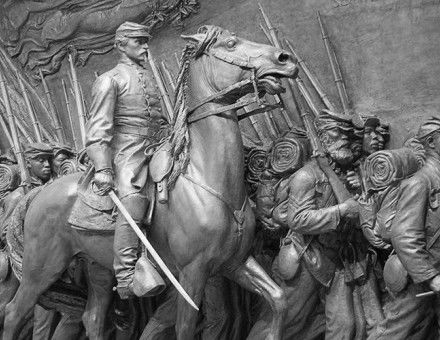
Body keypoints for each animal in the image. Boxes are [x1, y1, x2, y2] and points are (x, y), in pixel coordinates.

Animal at [2, 24, 300, 340]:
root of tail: (40, 192)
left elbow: (279, 299)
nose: (285, 59)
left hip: (97, 266)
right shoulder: (192, 274)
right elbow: (185, 327)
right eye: (231, 44)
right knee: (13, 313)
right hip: (42, 267)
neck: (205, 177)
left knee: (92, 318)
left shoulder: (236, 263)